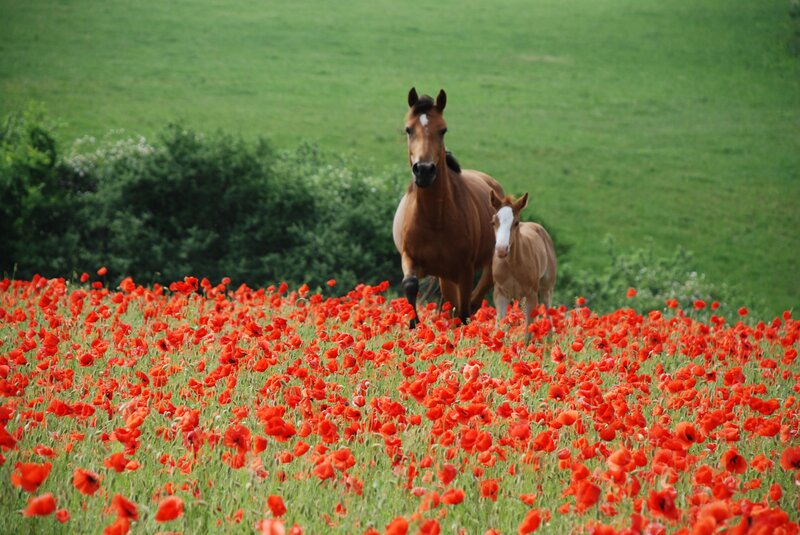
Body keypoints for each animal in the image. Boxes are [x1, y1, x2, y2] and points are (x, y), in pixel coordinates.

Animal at [392, 88, 505, 327]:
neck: (435, 218)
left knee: (473, 300)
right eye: (408, 129)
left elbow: (463, 309)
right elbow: (410, 285)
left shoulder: (465, 270)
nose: (424, 170)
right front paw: (414, 324)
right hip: (445, 275)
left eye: (443, 130)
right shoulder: (410, 258)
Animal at [490, 191, 557, 343]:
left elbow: (528, 333)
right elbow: (499, 329)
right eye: (493, 222)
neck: (512, 266)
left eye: (516, 223)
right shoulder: (500, 294)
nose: (501, 250)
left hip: (545, 288)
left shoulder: (531, 294)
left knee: (548, 314)